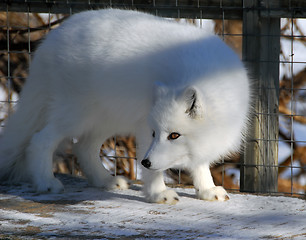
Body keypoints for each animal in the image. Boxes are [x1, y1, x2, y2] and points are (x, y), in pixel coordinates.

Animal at [0, 9, 250, 204]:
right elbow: (155, 172)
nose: (146, 162)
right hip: (76, 115)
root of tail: (52, 38)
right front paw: (158, 194)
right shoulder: (143, 127)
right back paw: (47, 183)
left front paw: (206, 190)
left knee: (82, 148)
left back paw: (104, 180)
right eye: (155, 133)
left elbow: (200, 164)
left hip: (105, 118)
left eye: (174, 135)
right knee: (40, 140)